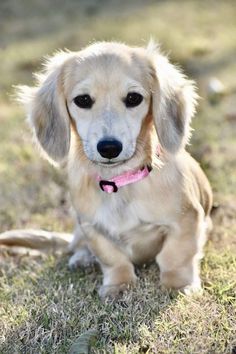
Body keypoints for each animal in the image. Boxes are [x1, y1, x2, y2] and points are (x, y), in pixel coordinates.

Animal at [0, 41, 213, 300]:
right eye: (83, 100)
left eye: (133, 98)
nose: (109, 147)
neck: (119, 183)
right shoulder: (93, 228)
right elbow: (113, 260)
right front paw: (118, 285)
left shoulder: (185, 221)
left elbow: (176, 256)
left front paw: (178, 284)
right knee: (79, 245)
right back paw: (82, 257)